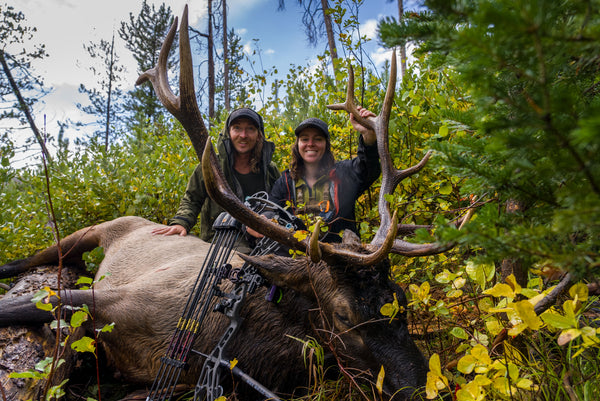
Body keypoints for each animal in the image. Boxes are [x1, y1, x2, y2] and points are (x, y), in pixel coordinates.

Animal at [0, 5, 454, 400]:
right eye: (344, 315)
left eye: (402, 300)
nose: (425, 390)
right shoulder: (118, 298)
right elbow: (25, 305)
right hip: (100, 228)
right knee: (35, 257)